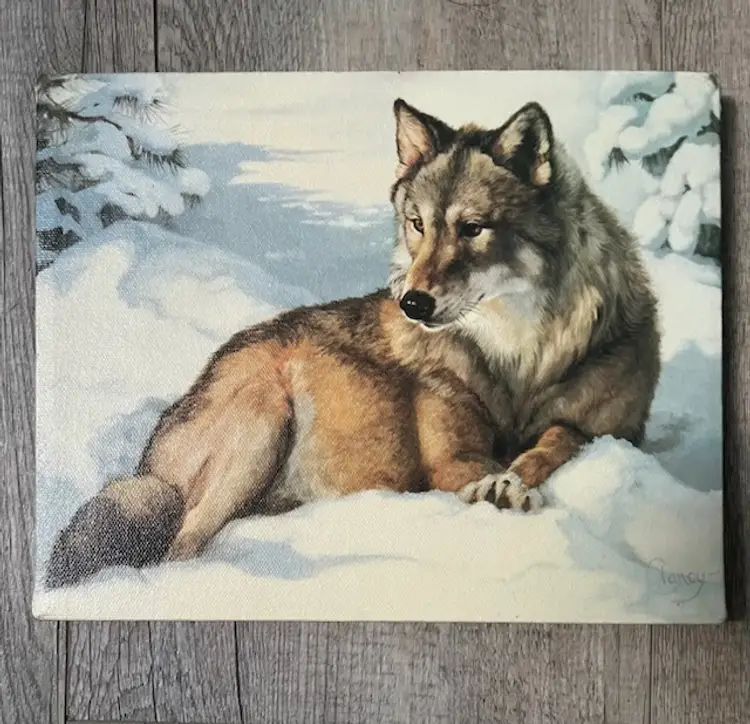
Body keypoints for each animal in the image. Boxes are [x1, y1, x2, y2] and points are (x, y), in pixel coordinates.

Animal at [45, 99, 660, 588]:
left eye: (473, 228)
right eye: (417, 223)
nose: (413, 303)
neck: (520, 361)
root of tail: (150, 457)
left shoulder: (613, 431)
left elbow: (559, 440)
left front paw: (516, 477)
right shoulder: (448, 459)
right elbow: (483, 467)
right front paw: (498, 486)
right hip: (262, 422)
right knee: (180, 547)